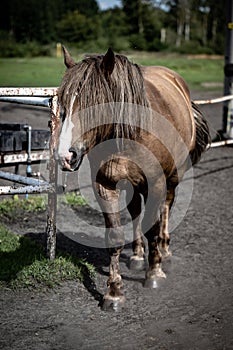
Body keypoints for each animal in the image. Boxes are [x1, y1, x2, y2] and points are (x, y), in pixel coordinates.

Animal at [57, 47, 210, 312]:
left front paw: (155, 273)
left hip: (173, 176)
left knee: (166, 209)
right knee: (136, 210)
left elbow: (153, 227)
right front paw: (114, 293)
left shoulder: (156, 182)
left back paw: (164, 251)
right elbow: (115, 237)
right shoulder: (105, 185)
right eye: (62, 102)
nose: (66, 156)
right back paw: (138, 256)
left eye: (95, 102)